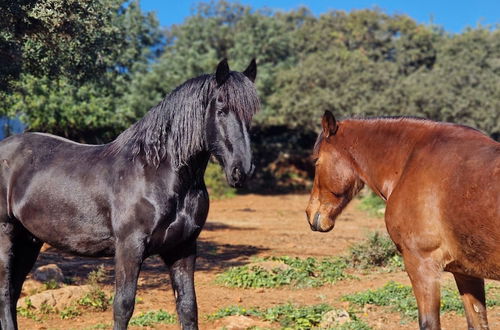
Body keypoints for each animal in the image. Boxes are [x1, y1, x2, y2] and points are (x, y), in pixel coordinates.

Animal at [0, 60, 258, 330]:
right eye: (221, 109)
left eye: (250, 114)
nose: (242, 169)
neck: (156, 173)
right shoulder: (129, 247)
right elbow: (123, 306)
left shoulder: (183, 247)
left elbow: (188, 307)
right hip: (7, 233)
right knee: (5, 292)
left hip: (30, 240)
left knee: (14, 291)